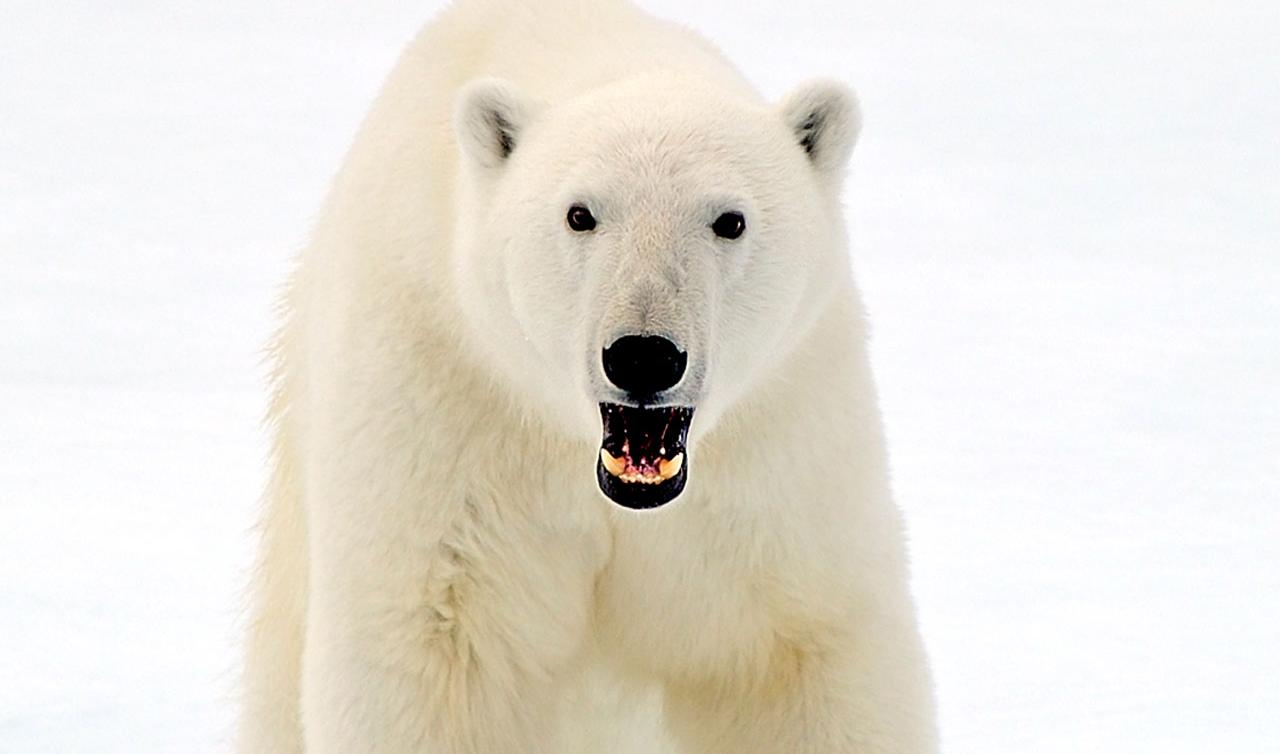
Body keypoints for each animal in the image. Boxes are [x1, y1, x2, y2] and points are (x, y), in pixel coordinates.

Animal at [237, 0, 937, 752]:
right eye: (580, 214)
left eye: (731, 220)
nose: (643, 354)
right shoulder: (444, 402)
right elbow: (434, 653)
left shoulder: (781, 449)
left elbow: (802, 655)